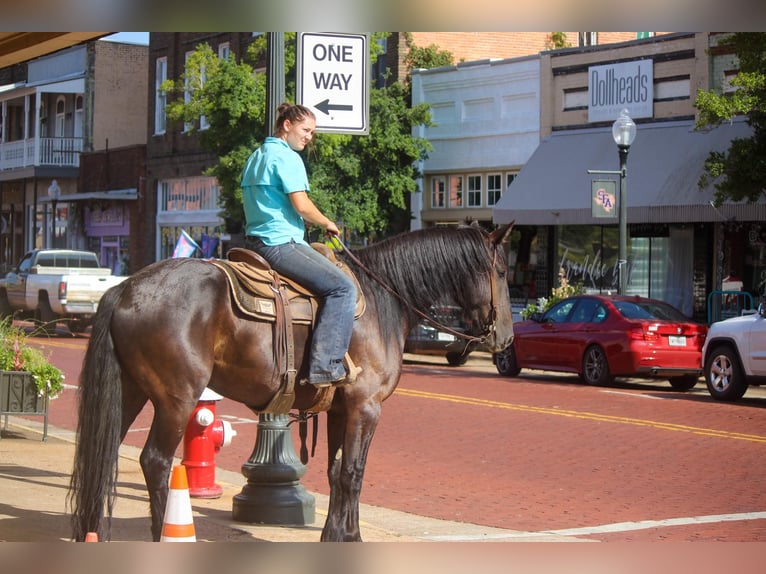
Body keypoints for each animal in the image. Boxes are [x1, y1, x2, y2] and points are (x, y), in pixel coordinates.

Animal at [67, 223, 516, 544]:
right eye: (502, 270)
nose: (507, 339)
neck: (384, 298)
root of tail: (127, 287)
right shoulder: (366, 407)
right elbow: (354, 473)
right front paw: (348, 538)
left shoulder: (341, 409)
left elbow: (337, 473)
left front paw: (338, 536)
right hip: (177, 398)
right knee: (156, 462)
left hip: (130, 390)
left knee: (103, 450)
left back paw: (92, 532)